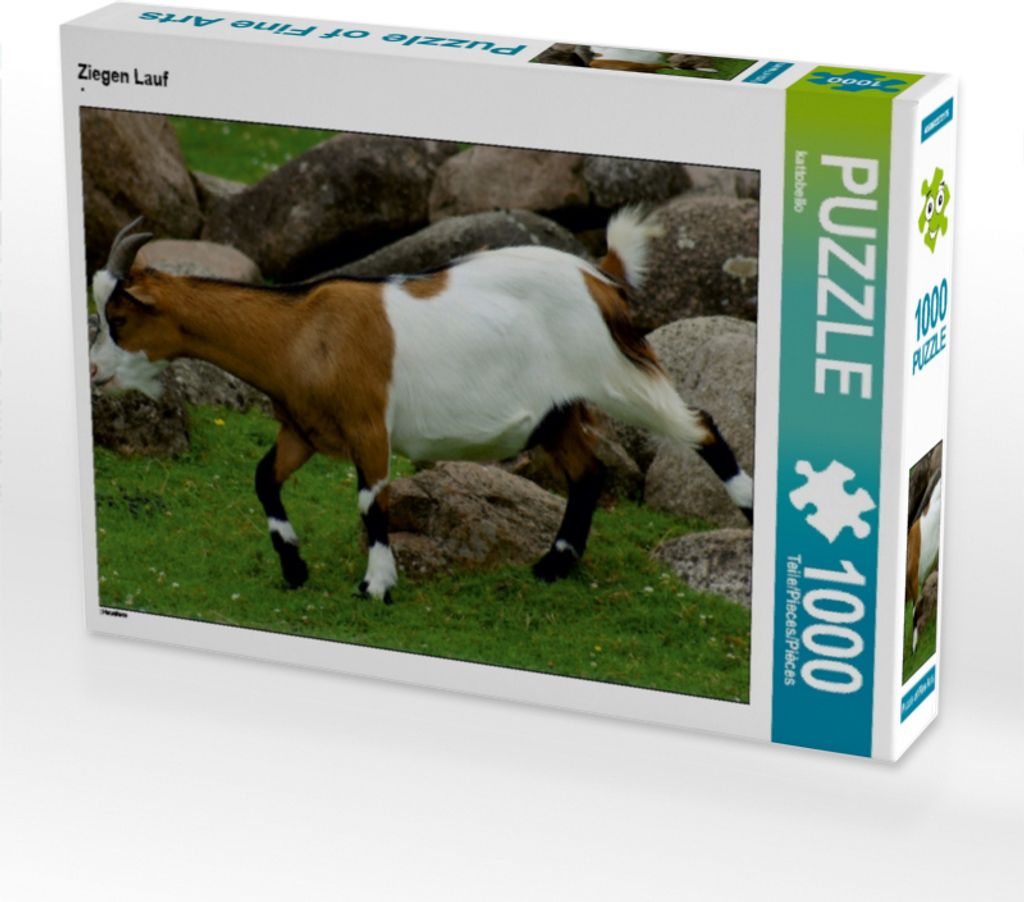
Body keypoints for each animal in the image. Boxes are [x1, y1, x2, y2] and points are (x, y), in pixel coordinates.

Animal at [92, 210, 754, 603]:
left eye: (118, 319)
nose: (95, 373)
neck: (302, 331)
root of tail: (599, 275)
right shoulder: (304, 430)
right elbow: (263, 479)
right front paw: (294, 567)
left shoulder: (368, 424)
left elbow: (370, 500)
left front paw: (377, 585)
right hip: (558, 410)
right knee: (588, 474)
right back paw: (552, 566)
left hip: (616, 375)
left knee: (699, 427)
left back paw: (747, 517)